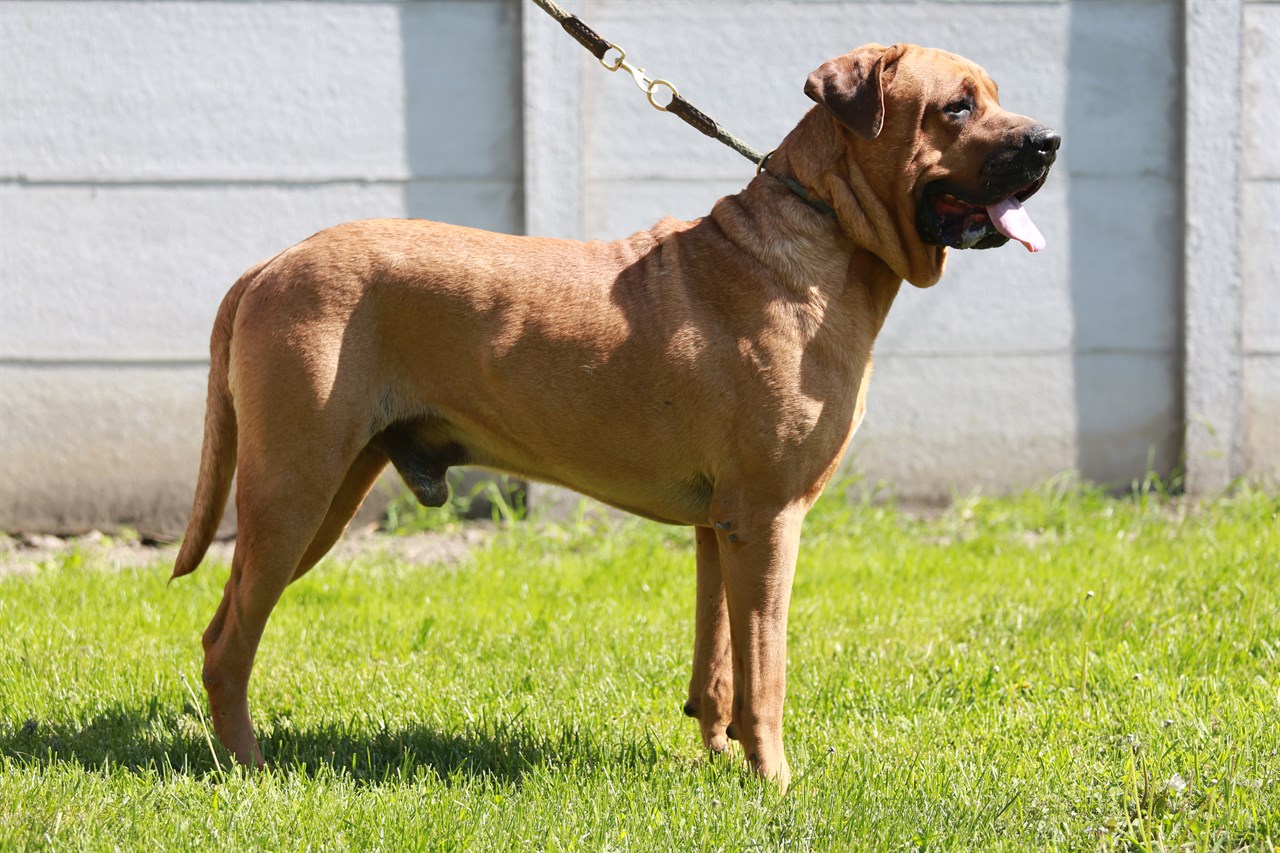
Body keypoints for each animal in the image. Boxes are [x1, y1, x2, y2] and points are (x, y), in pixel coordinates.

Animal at [172, 43, 1059, 788]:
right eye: (956, 107)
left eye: (995, 96)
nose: (1049, 142)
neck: (824, 229)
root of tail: (270, 264)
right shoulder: (770, 517)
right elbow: (767, 667)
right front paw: (774, 779)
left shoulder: (722, 525)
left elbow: (721, 663)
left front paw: (720, 755)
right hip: (295, 490)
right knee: (228, 643)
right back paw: (249, 765)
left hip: (324, 496)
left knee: (224, 627)